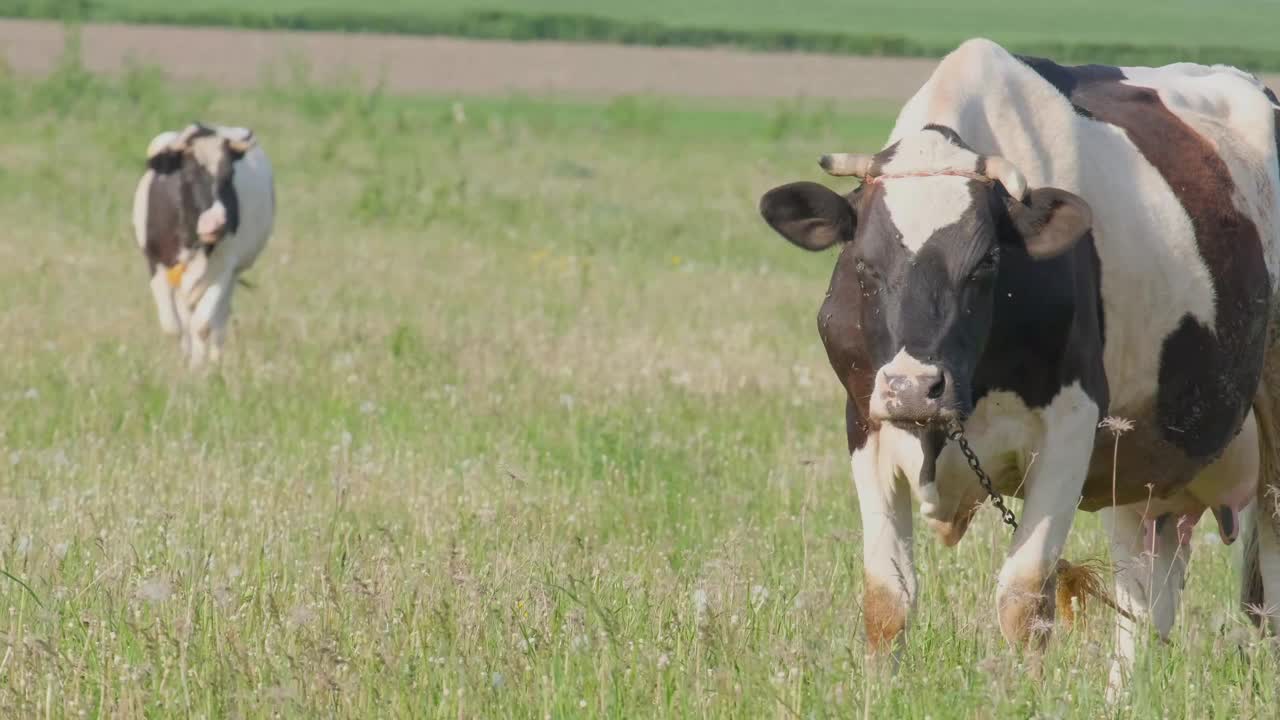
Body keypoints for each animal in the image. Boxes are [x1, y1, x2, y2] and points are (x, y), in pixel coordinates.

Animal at [131, 121, 276, 363]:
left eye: (229, 175)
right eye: (188, 174)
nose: (215, 222)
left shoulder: (225, 268)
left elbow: (203, 324)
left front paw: (200, 367)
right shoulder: (156, 262)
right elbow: (174, 326)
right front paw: (184, 362)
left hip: (232, 274)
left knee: (218, 321)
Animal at [752, 36, 1280, 691]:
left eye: (984, 265)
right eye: (862, 264)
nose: (913, 388)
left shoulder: (1072, 426)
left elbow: (1025, 596)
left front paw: (1025, 695)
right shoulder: (864, 421)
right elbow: (887, 597)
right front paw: (879, 692)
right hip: (1141, 451)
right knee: (1145, 579)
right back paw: (1122, 695)